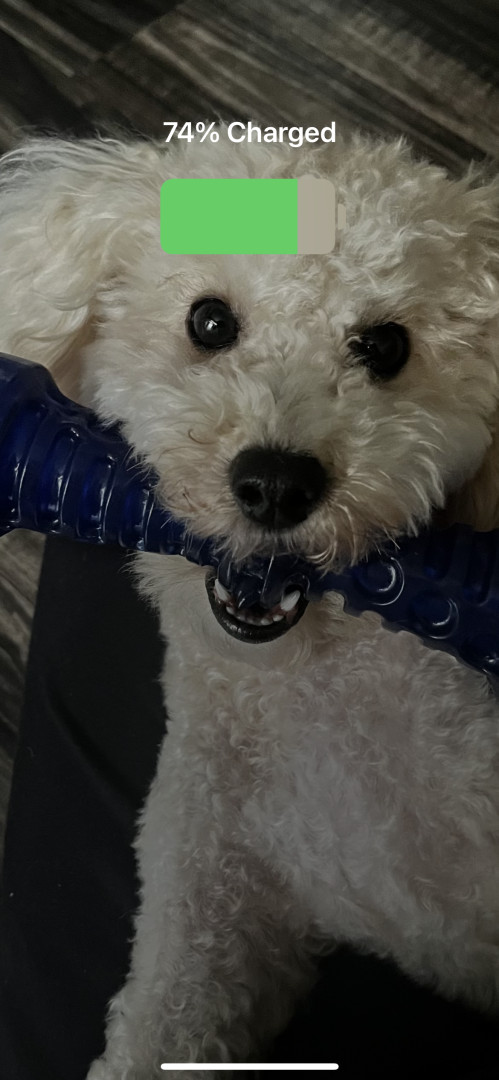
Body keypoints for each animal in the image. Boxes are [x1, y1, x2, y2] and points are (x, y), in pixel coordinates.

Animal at [1, 123, 499, 1079]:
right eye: (208, 322)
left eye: (384, 347)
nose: (274, 484)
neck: (310, 691)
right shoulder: (209, 902)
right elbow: (161, 1029)